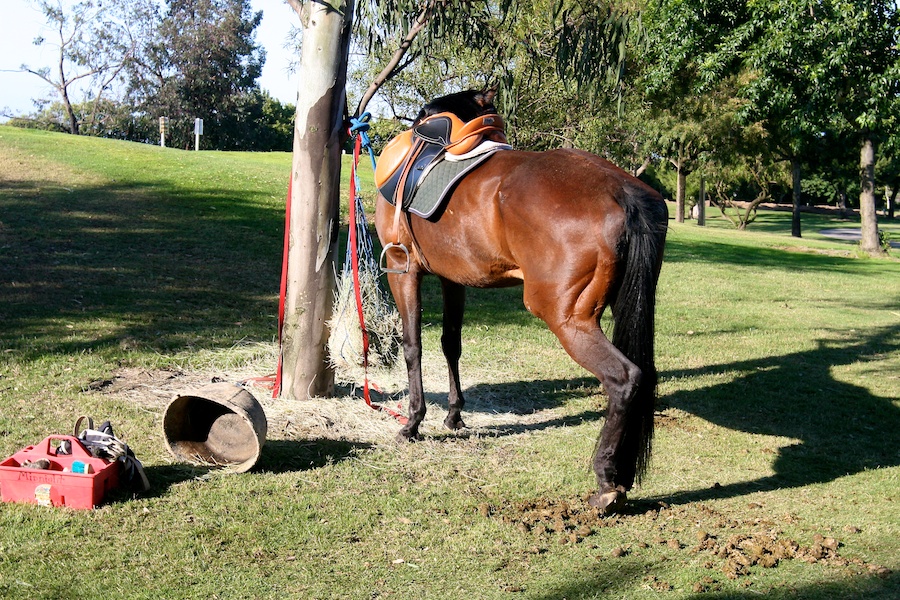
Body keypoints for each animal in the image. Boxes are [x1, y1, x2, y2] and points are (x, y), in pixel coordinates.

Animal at [374, 90, 668, 510]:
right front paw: (454, 416)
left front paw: (413, 423)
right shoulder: (453, 278)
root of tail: (622, 190)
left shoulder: (403, 269)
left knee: (626, 378)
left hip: (567, 318)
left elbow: (413, 346)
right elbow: (451, 344)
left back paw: (607, 480)